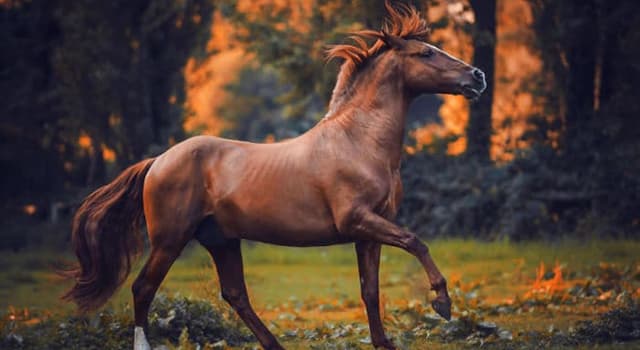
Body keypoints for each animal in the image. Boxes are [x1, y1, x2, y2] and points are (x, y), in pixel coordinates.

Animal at [63, 3, 484, 350]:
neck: (358, 142)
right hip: (170, 240)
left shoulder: (369, 232)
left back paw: (275, 345)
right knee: (143, 287)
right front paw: (442, 302)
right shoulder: (358, 220)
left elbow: (370, 289)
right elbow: (416, 242)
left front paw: (385, 343)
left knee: (234, 294)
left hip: (221, 239)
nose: (477, 76)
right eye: (426, 53)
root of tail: (157, 161)